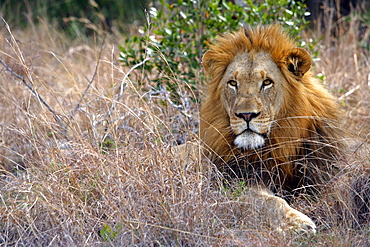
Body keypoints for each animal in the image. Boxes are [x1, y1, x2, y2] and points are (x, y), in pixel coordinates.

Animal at [188, 24, 344, 233]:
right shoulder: (231, 180)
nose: (246, 115)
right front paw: (298, 223)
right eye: (233, 83)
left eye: (267, 82)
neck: (280, 144)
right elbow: (269, 201)